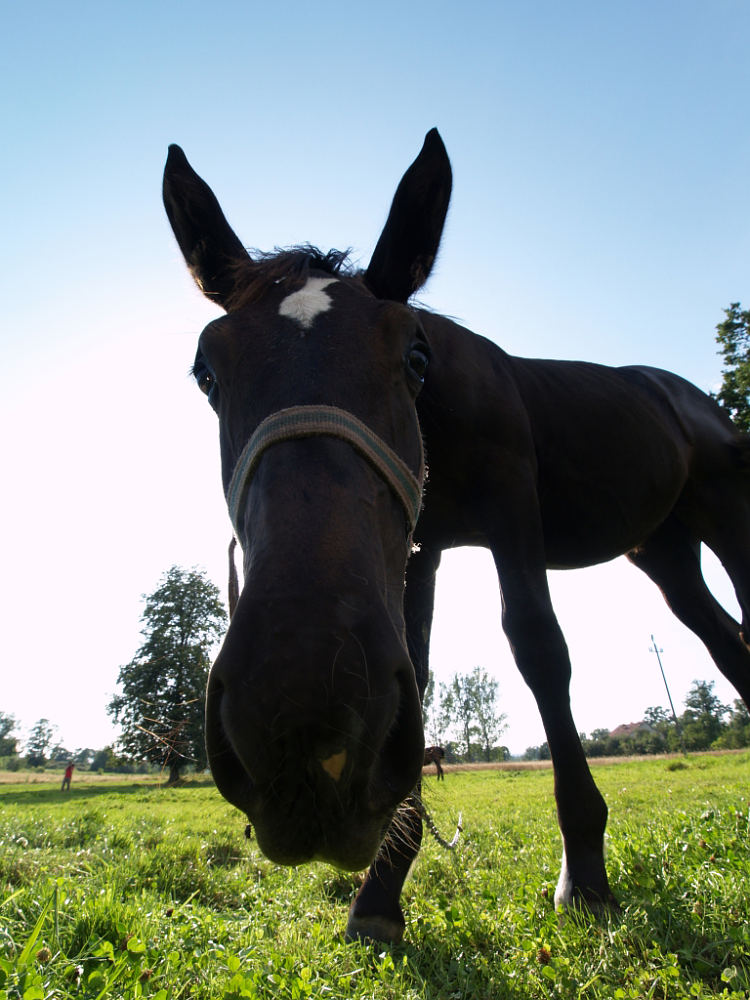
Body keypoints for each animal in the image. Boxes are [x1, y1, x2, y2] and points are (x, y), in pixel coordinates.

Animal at [164, 129, 750, 940]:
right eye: (206, 371)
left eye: (413, 355)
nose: (301, 725)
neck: (441, 412)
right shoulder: (422, 550)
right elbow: (418, 667)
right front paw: (380, 891)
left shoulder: (513, 512)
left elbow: (540, 652)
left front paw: (585, 874)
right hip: (665, 555)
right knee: (727, 646)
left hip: (730, 519)